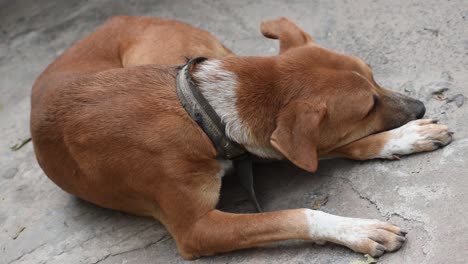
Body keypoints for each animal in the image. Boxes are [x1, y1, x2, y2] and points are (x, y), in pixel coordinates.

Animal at [30, 15, 454, 258]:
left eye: (373, 77)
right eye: (368, 105)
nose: (420, 108)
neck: (202, 112)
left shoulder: (263, 145)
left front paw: (404, 136)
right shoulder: (197, 230)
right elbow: (294, 214)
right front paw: (357, 229)